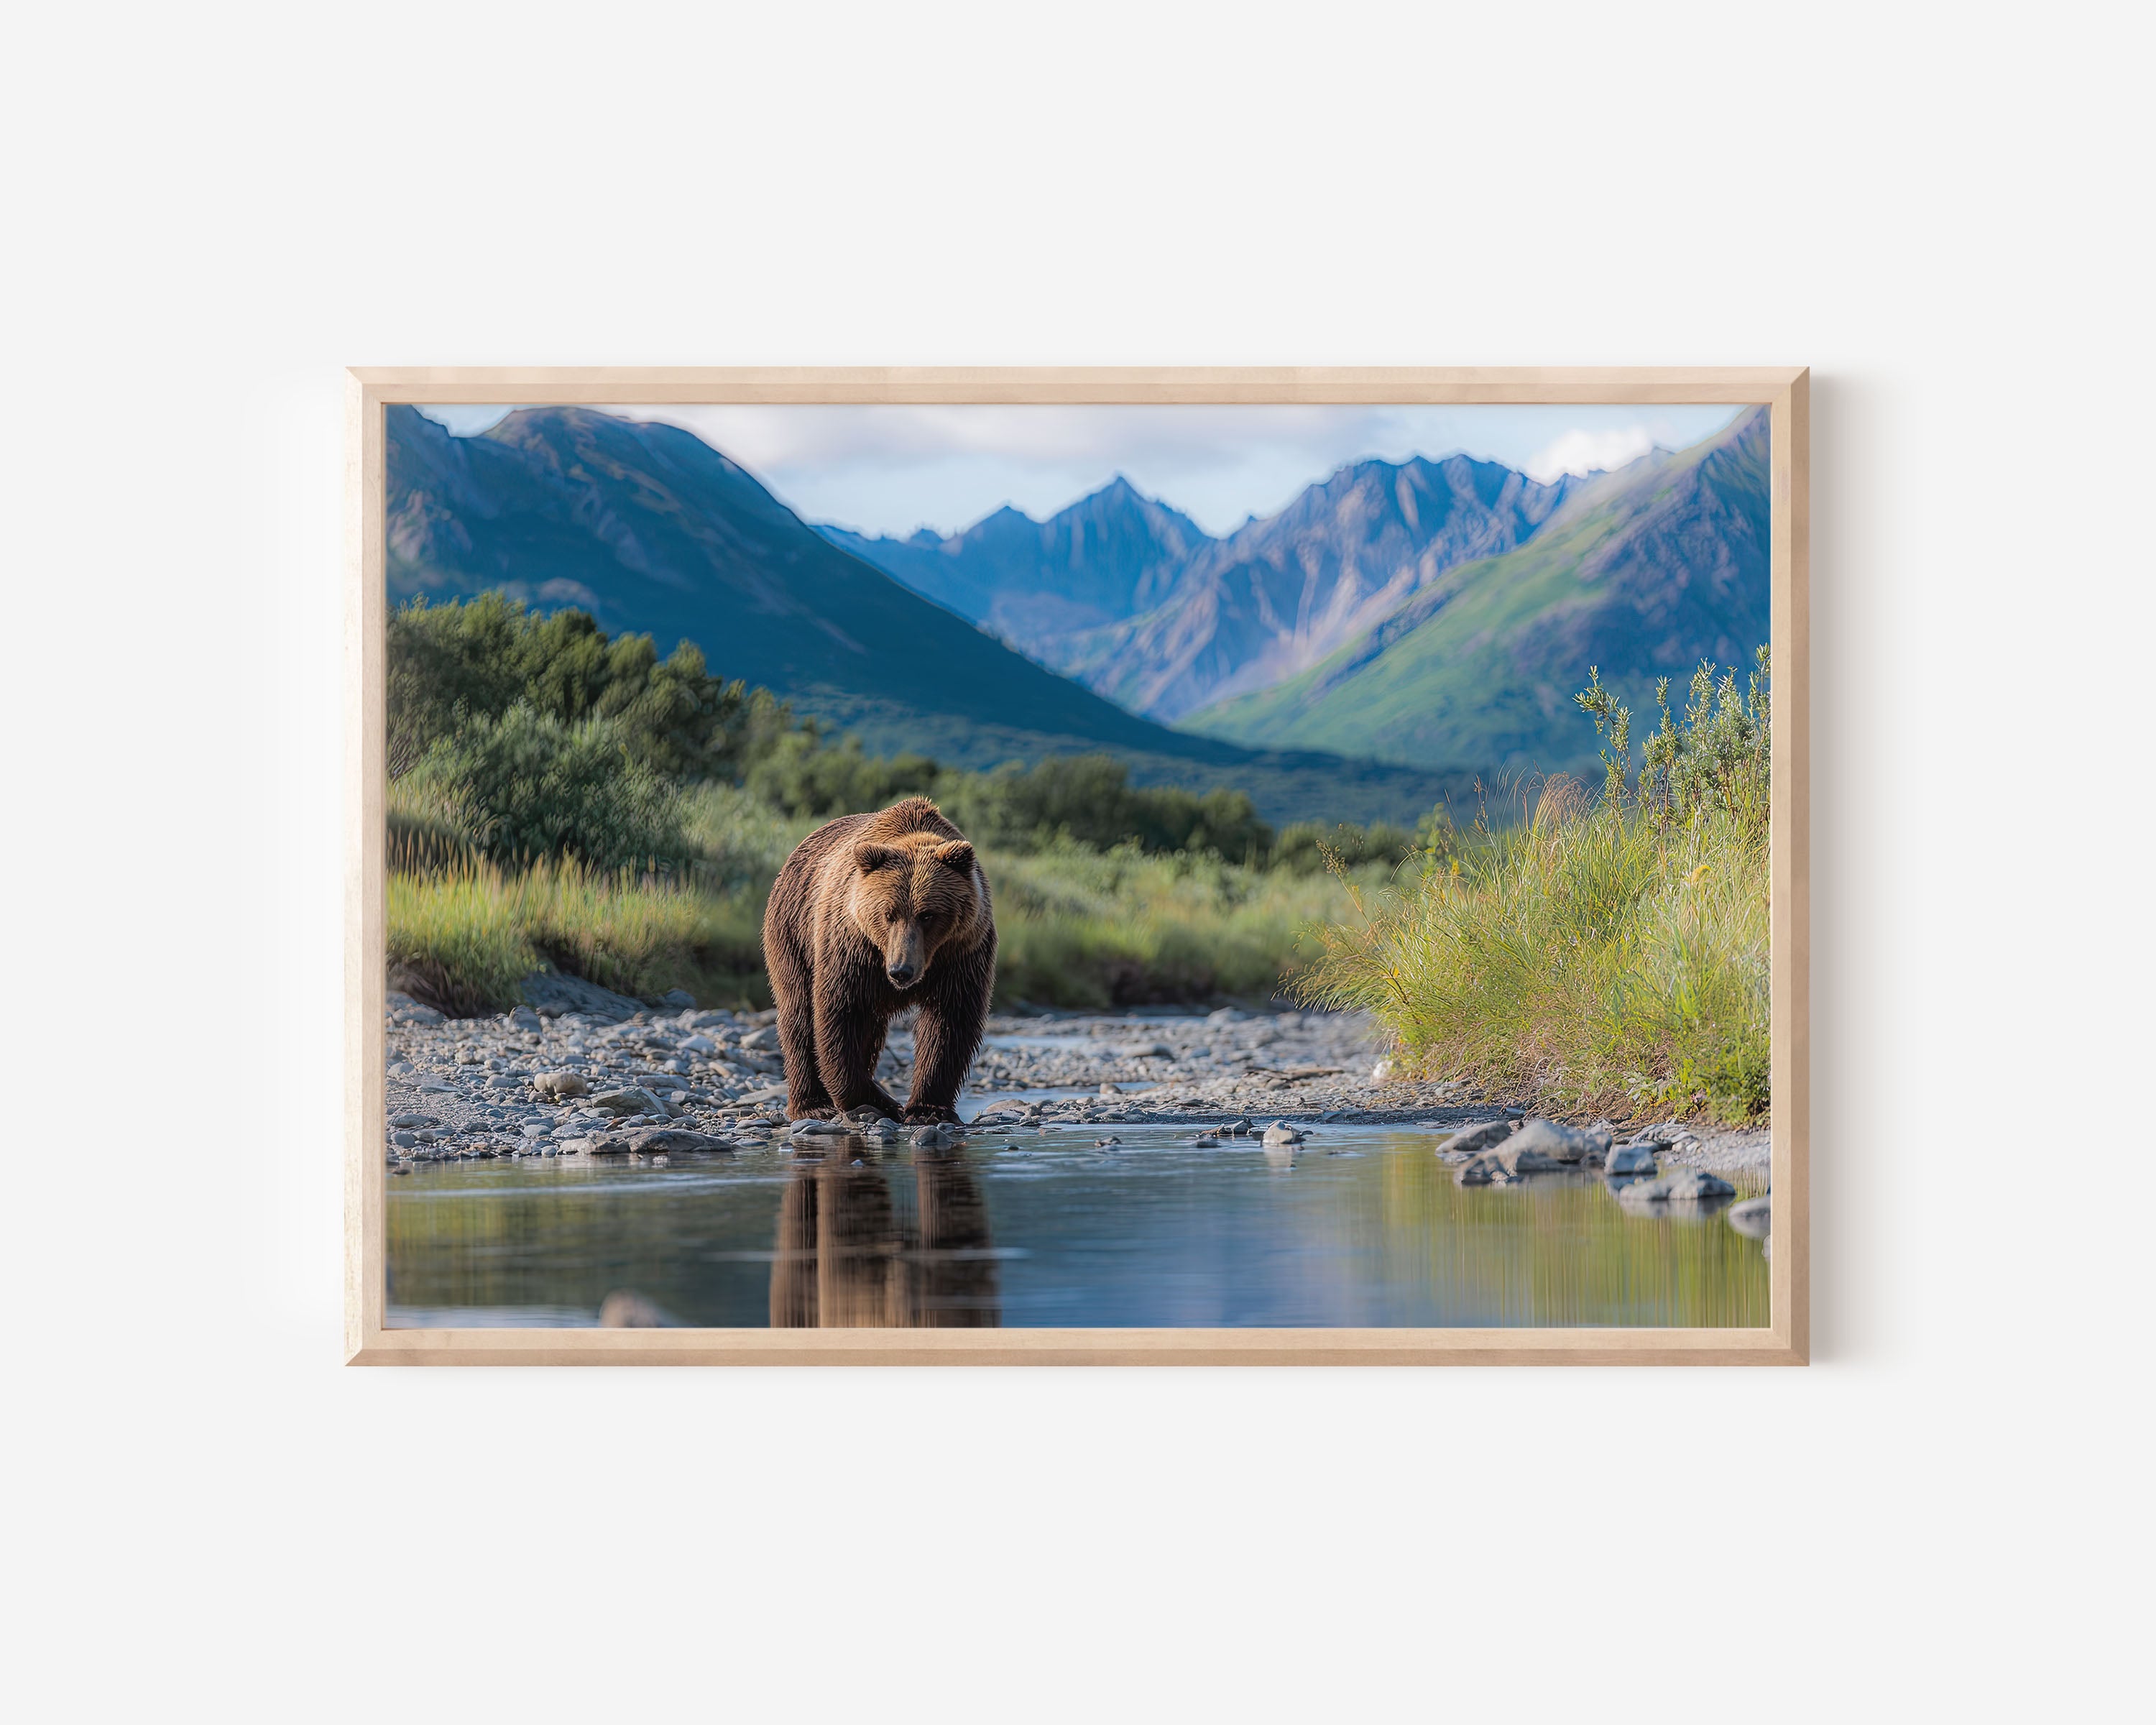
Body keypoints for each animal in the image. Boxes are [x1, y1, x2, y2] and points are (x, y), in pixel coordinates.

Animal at [760, 796, 996, 1125]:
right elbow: (841, 1013)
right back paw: (812, 1105)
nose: (901, 971)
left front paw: (927, 1110)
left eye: (927, 915)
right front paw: (879, 1101)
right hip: (792, 932)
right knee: (798, 1014)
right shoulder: (852, 948)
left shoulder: (961, 953)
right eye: (889, 913)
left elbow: (949, 1023)